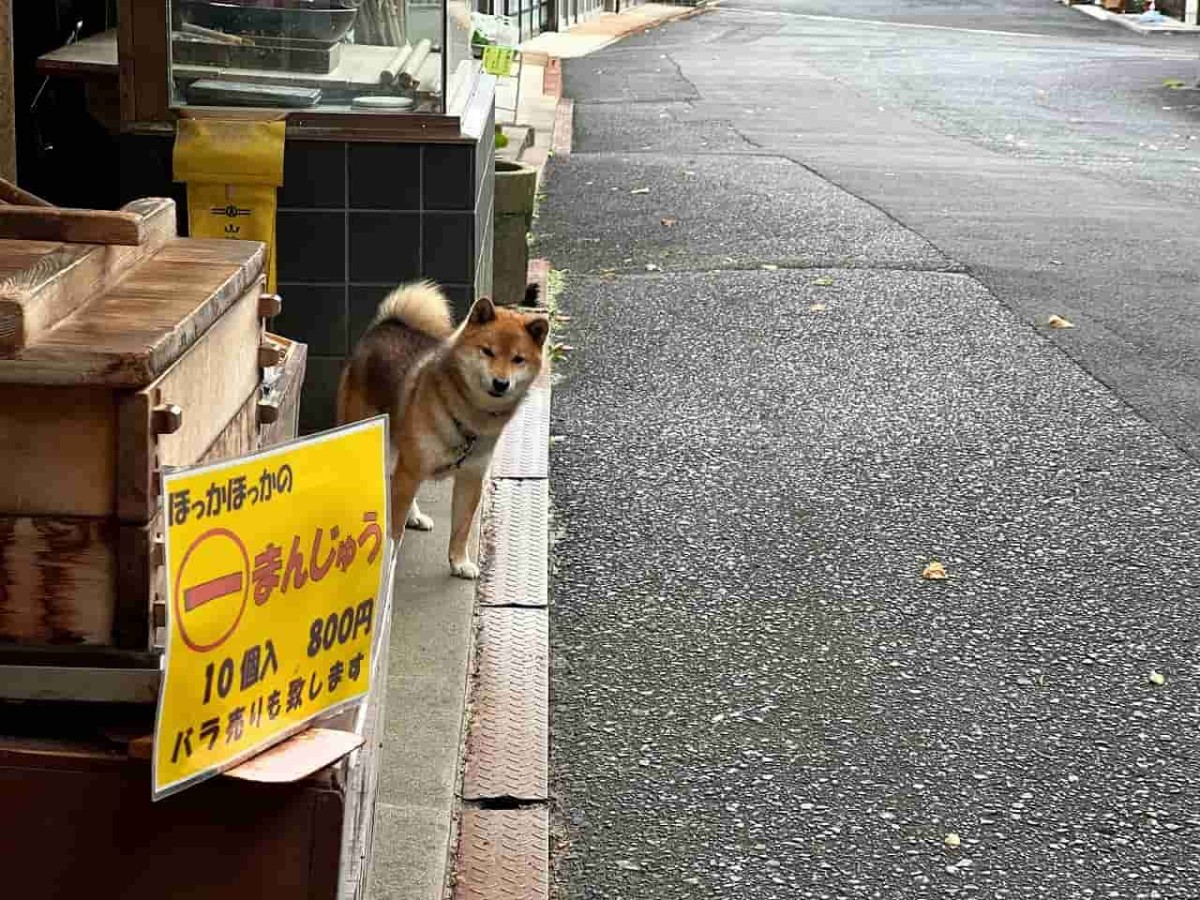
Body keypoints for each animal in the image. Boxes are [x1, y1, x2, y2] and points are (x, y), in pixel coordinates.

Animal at [336, 280, 547, 578]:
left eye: (518, 359)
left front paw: (459, 562)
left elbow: (461, 528)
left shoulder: (470, 478)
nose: (501, 383)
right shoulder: (412, 470)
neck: (468, 417)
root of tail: (387, 323)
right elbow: (394, 532)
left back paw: (414, 515)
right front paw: (387, 568)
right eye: (488, 351)